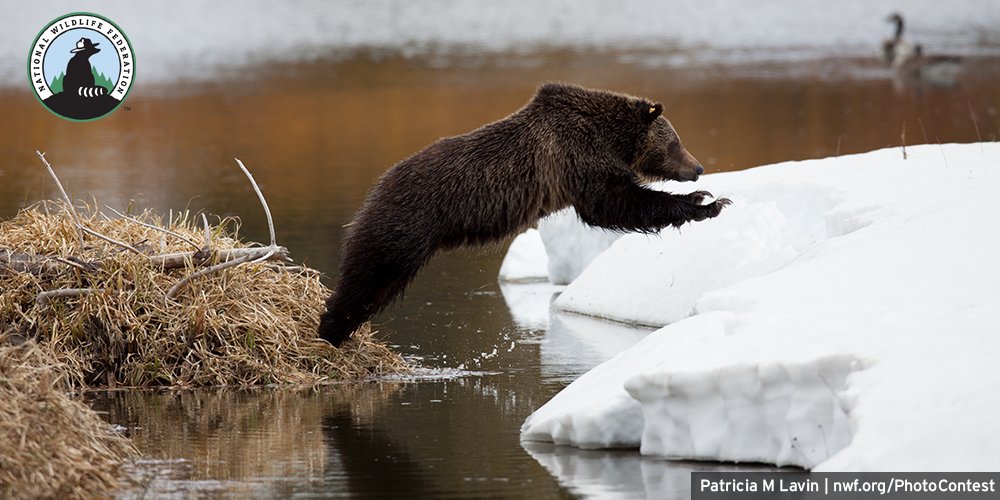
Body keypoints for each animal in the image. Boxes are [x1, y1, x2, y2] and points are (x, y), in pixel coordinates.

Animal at [318, 82, 731, 346]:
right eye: (675, 142)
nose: (698, 169)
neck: (607, 135)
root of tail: (375, 190)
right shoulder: (576, 157)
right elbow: (615, 203)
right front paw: (705, 203)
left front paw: (707, 198)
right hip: (405, 226)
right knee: (368, 277)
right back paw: (330, 330)